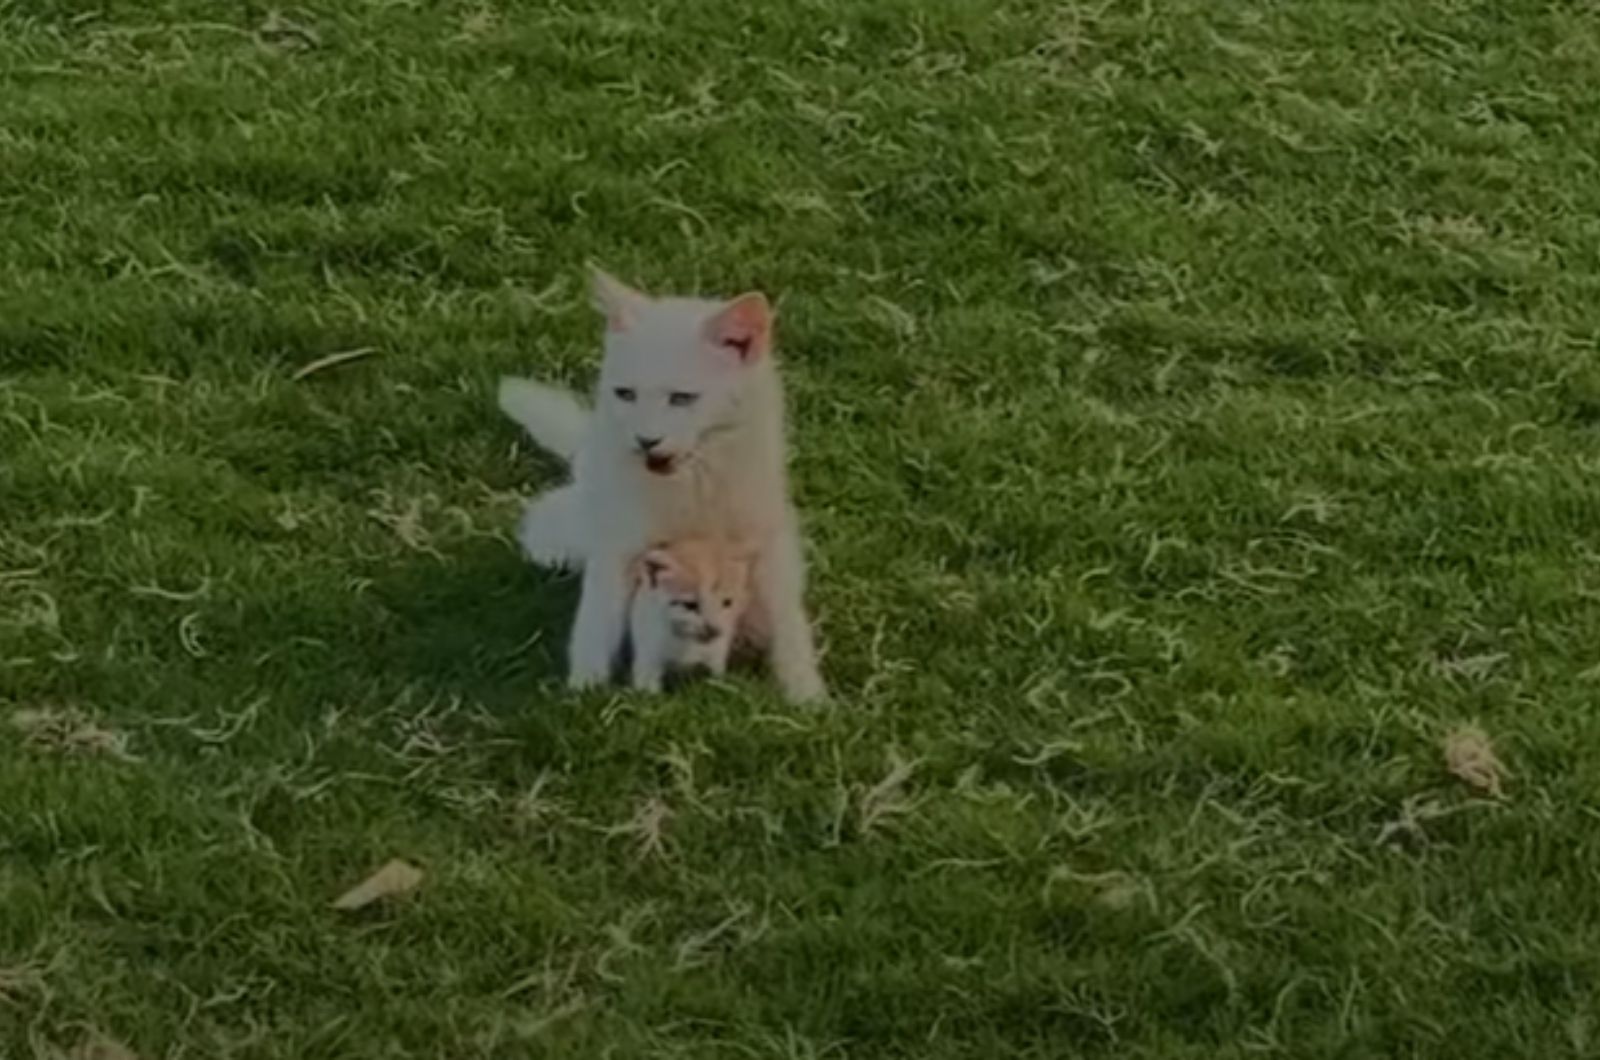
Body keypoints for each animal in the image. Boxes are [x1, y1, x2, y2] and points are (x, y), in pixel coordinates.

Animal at [496, 270, 825, 704]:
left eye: (683, 398)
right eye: (625, 394)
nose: (645, 440)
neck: (690, 486)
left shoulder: (767, 547)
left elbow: (786, 621)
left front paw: (807, 695)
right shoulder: (618, 550)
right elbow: (597, 622)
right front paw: (586, 690)